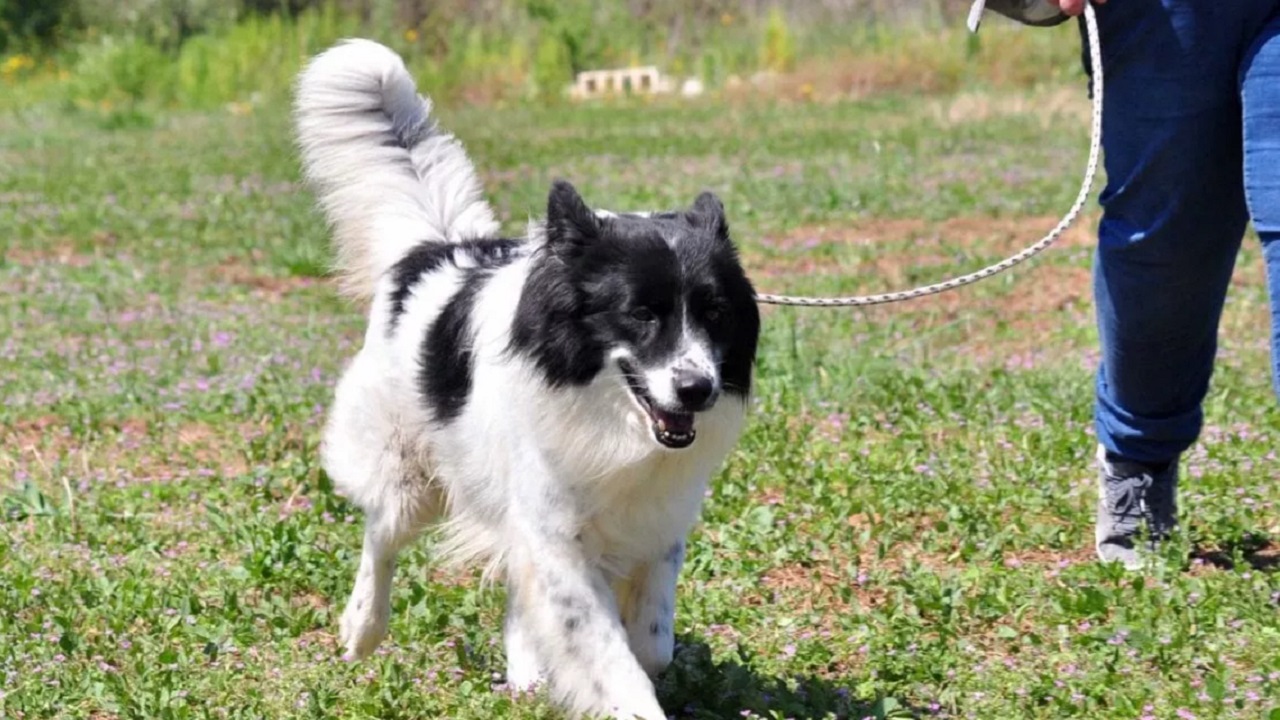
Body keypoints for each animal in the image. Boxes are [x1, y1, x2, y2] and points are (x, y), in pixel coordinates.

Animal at [293, 40, 757, 717]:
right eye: (641, 314)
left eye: (715, 314)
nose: (698, 389)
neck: (603, 412)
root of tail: (435, 251)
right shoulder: (556, 534)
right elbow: (609, 657)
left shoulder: (656, 524)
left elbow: (650, 643)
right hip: (408, 470)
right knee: (381, 536)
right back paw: (362, 628)